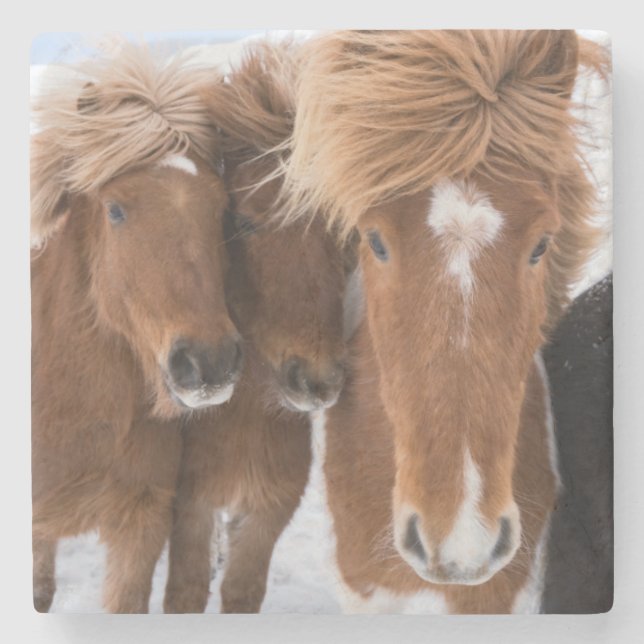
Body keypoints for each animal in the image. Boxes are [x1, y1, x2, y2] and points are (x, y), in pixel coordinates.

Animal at [163, 41, 353, 613]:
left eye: (344, 232)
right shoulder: (190, 509)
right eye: (243, 220)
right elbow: (184, 593)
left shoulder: (269, 511)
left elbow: (242, 591)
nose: (316, 381)